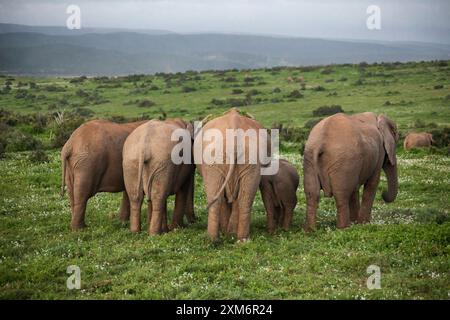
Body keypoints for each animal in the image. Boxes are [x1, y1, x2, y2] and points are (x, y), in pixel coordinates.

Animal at [194, 109, 270, 241]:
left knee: (223, 198)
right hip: (247, 160)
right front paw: (229, 232)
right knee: (243, 198)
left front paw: (228, 232)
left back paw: (216, 239)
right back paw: (239, 240)